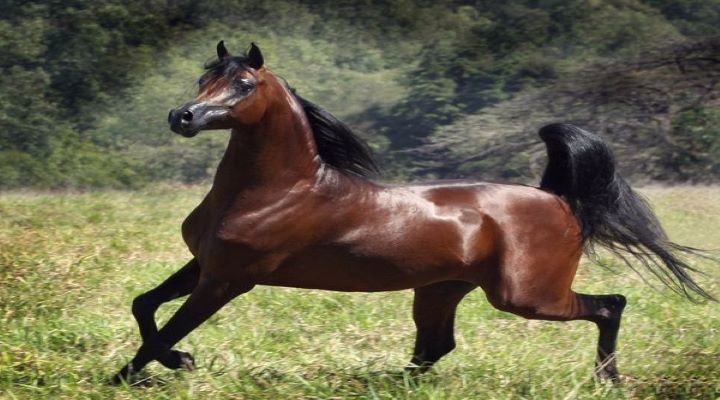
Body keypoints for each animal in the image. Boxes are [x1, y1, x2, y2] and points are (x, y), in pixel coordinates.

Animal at [112, 41, 714, 384]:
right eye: (202, 78)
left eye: (242, 83)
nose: (182, 116)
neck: (279, 189)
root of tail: (557, 199)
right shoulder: (206, 264)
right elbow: (145, 306)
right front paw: (171, 365)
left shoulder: (231, 279)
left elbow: (165, 329)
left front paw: (140, 374)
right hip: (441, 290)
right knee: (435, 346)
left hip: (526, 297)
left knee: (610, 306)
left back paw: (609, 380)